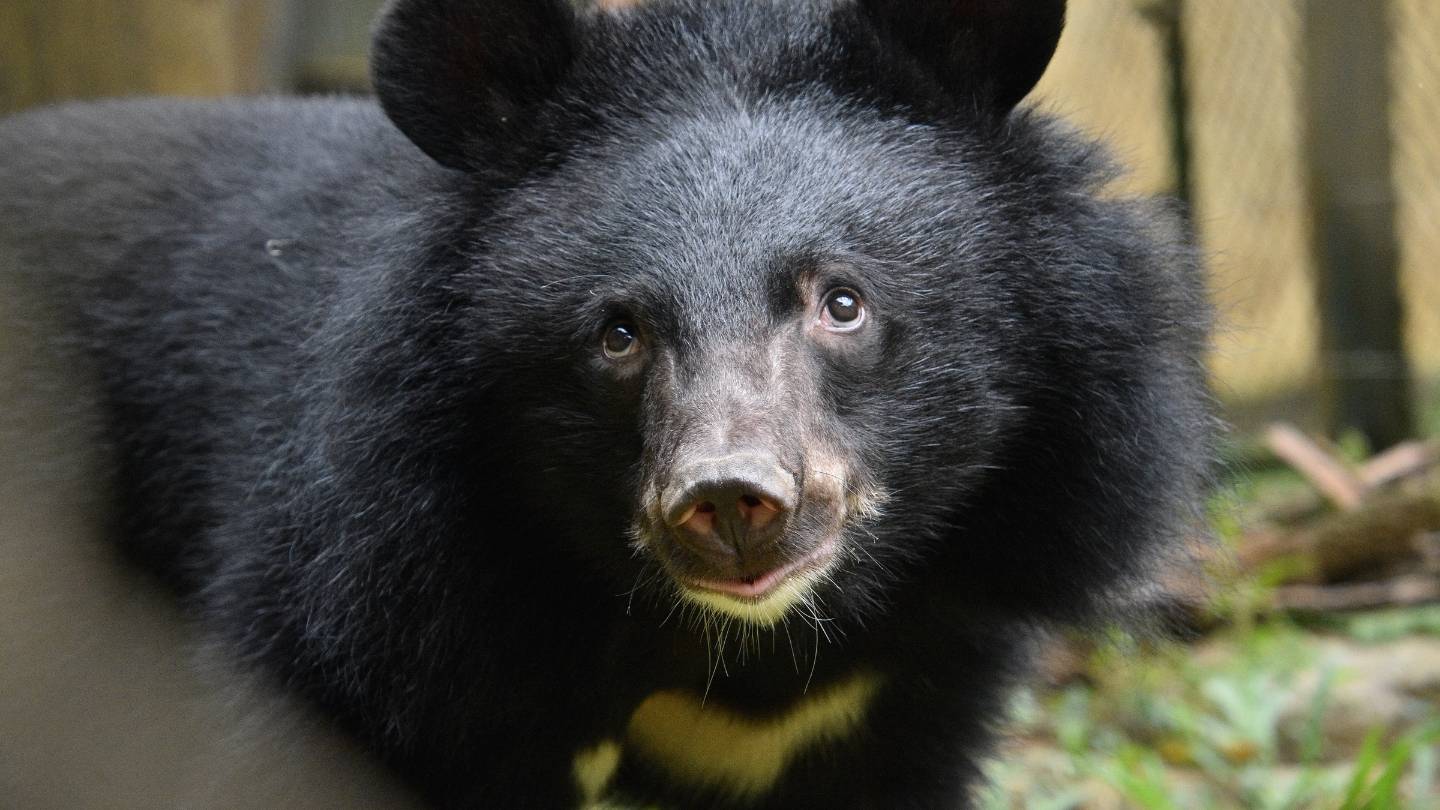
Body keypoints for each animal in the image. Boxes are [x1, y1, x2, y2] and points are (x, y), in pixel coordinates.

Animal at [0, 0, 1214, 807]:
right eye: (618, 333)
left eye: (843, 302)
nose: (730, 502)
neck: (732, 650)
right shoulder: (373, 613)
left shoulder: (909, 679)